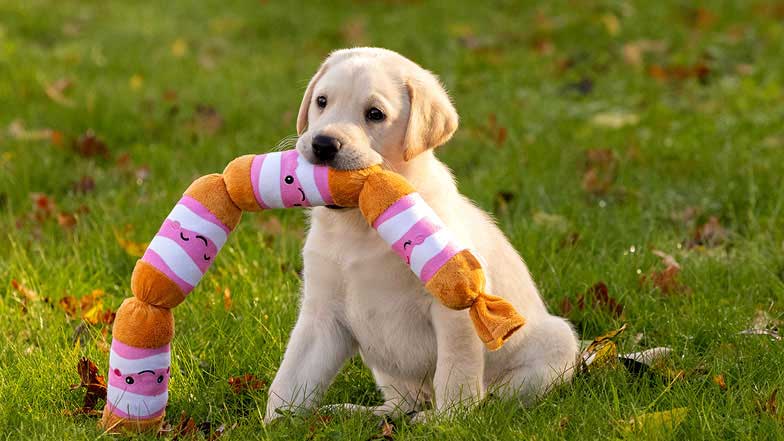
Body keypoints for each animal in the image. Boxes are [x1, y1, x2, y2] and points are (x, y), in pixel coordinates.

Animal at [266, 46, 580, 422]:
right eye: (322, 102)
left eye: (375, 114)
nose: (323, 144)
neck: (360, 224)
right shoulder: (321, 314)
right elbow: (291, 376)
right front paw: (272, 423)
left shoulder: (455, 312)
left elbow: (454, 374)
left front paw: (448, 423)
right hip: (389, 373)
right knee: (403, 402)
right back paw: (363, 412)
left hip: (555, 343)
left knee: (496, 399)